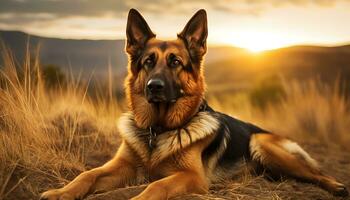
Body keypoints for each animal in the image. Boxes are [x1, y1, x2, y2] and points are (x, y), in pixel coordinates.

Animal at [41, 8, 348, 199]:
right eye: (148, 62)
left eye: (176, 62)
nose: (154, 87)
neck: (158, 131)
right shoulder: (121, 166)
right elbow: (87, 174)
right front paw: (60, 192)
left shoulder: (191, 177)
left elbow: (155, 188)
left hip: (262, 145)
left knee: (315, 173)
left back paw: (336, 186)